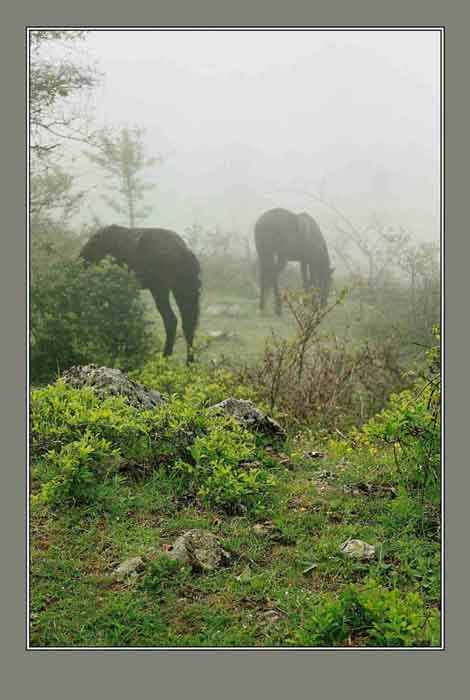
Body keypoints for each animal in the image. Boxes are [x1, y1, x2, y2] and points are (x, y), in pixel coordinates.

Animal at [80, 225, 201, 362]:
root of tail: (184, 251)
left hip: (160, 290)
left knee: (171, 320)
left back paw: (165, 357)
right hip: (181, 291)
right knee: (188, 324)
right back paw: (188, 361)